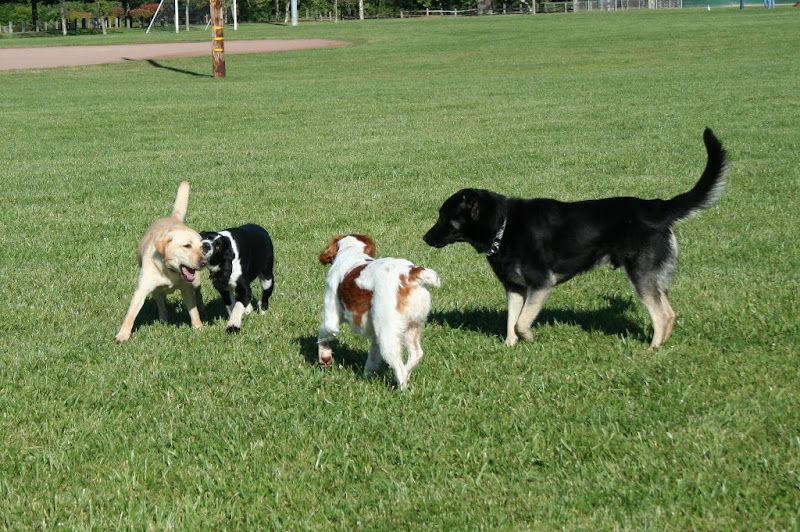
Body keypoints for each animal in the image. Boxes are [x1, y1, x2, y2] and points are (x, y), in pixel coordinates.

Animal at [117, 181, 209, 342]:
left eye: (201, 247)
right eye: (187, 246)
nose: (204, 262)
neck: (169, 271)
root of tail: (173, 218)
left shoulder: (187, 289)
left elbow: (193, 311)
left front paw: (198, 327)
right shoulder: (142, 289)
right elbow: (131, 314)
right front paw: (122, 334)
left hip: (196, 282)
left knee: (198, 295)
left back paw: (202, 310)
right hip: (155, 291)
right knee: (160, 303)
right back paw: (163, 319)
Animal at [424, 127, 732, 348]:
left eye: (444, 216)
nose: (425, 238)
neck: (504, 225)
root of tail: (657, 206)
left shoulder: (541, 285)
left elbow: (522, 323)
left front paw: (529, 339)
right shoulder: (515, 289)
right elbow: (511, 321)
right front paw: (510, 347)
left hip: (640, 275)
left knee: (663, 314)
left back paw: (653, 350)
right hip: (654, 277)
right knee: (669, 311)